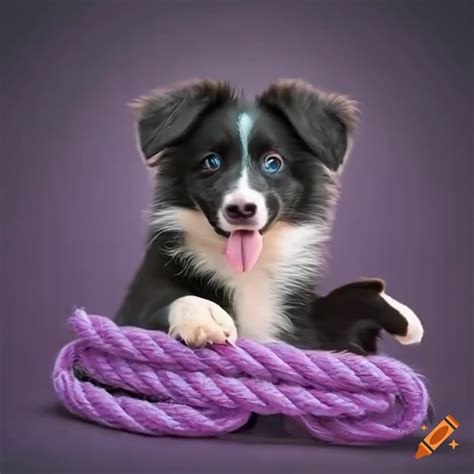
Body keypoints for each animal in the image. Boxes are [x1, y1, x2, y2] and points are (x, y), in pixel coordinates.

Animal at [116, 79, 424, 354]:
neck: (246, 271)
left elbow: (336, 308)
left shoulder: (303, 325)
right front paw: (205, 315)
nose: (241, 209)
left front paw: (403, 315)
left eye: (273, 162)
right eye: (211, 161)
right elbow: (167, 305)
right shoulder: (138, 303)